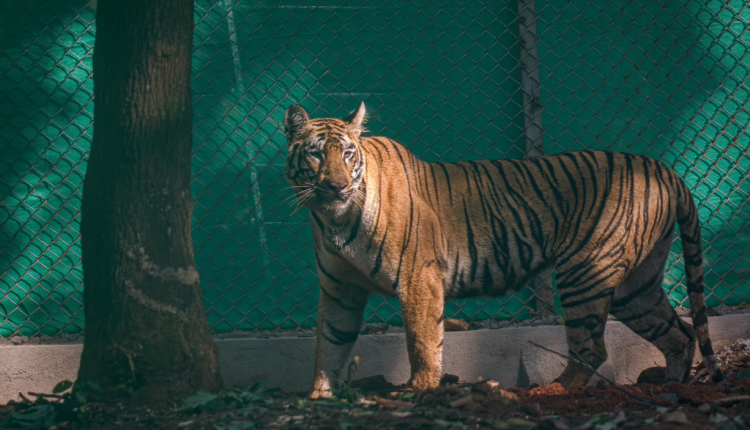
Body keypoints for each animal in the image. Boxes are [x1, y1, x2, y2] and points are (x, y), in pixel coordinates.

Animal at [282, 102, 724, 398]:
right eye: (316, 153)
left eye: (347, 154)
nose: (337, 186)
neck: (334, 218)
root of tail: (664, 168)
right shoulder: (339, 290)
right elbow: (329, 343)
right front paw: (319, 397)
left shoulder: (418, 277)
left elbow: (422, 341)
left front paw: (419, 390)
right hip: (636, 286)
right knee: (679, 333)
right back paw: (671, 386)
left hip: (586, 271)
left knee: (592, 347)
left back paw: (551, 392)